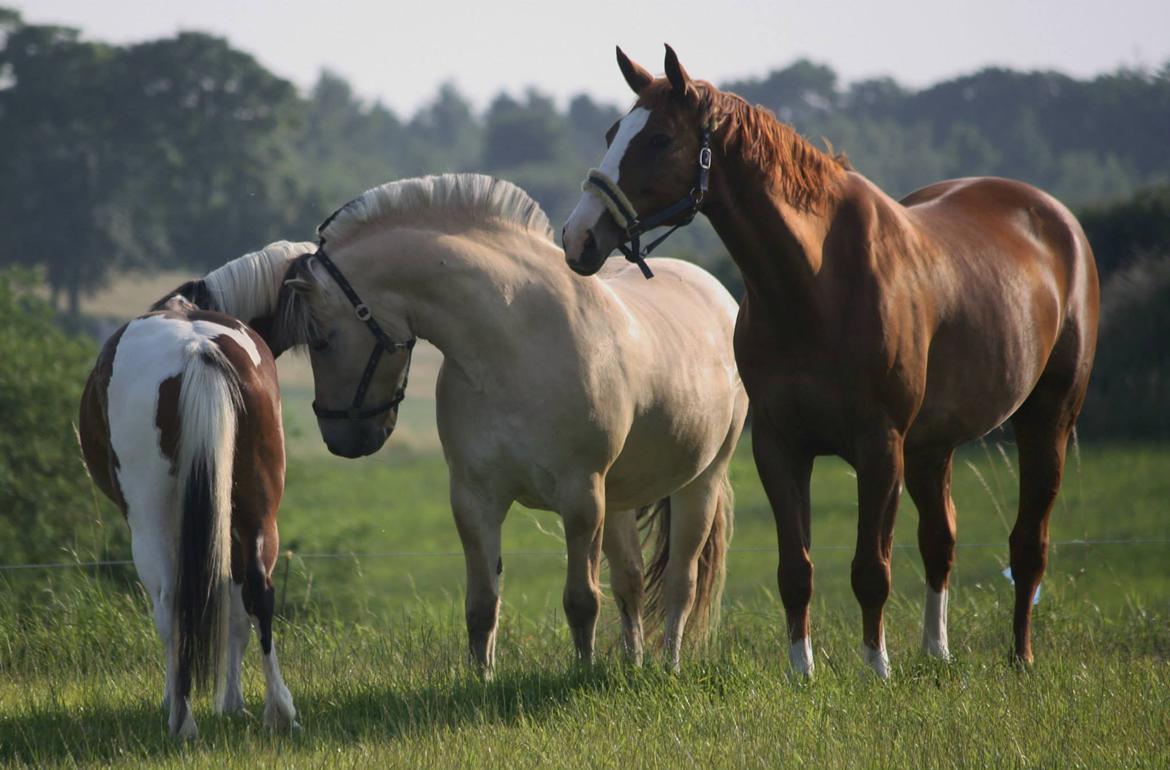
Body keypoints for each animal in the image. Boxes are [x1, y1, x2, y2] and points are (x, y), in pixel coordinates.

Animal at [79, 243, 313, 734]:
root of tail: (199, 350)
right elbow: (235, 607)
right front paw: (233, 702)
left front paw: (190, 699)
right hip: (256, 507)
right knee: (258, 590)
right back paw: (280, 711)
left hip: (150, 522)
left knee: (171, 604)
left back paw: (181, 716)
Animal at [274, 172, 748, 664]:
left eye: (322, 341)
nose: (341, 438)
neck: (514, 342)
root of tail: (717, 293)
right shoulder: (475, 499)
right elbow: (482, 606)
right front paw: (481, 676)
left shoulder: (581, 499)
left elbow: (582, 601)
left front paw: (584, 672)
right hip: (618, 497)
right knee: (631, 581)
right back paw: (633, 664)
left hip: (700, 482)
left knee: (680, 583)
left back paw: (668, 665)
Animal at [561, 45, 1099, 674]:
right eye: (613, 133)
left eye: (661, 139)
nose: (578, 238)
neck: (816, 283)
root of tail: (1054, 219)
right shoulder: (780, 447)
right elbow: (796, 570)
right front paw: (802, 670)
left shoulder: (879, 446)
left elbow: (871, 569)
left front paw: (876, 668)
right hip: (932, 446)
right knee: (940, 541)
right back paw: (936, 651)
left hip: (1047, 420)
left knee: (1028, 544)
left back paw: (1020, 657)